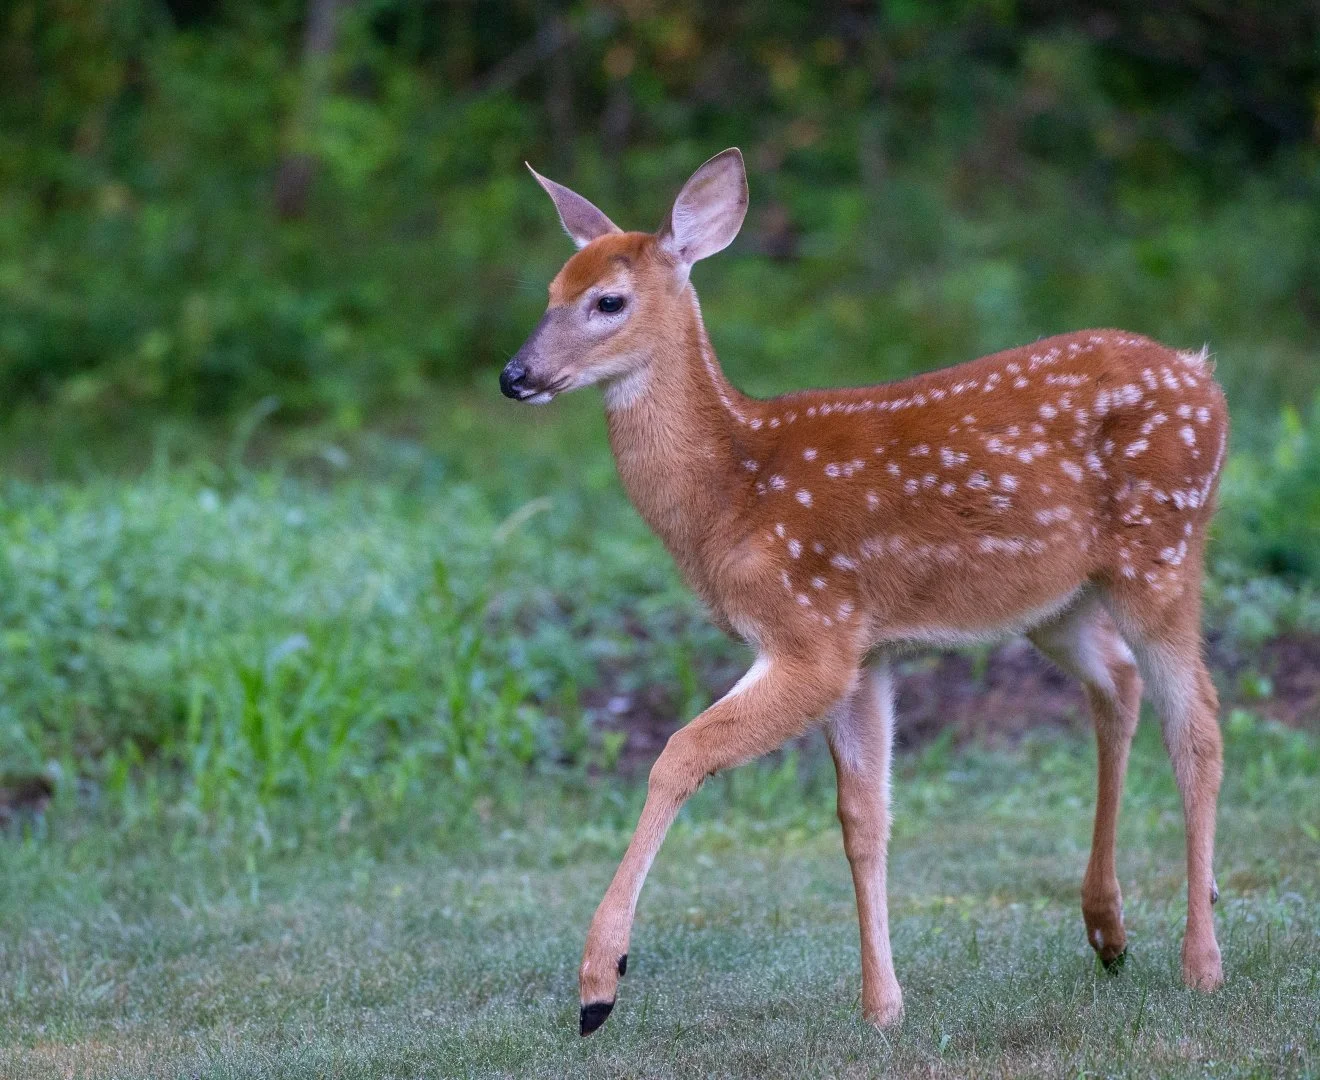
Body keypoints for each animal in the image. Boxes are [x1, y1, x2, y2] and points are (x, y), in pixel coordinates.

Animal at [501, 149, 1229, 1036]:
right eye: (550, 290)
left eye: (608, 300)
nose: (515, 375)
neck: (732, 492)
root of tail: (1205, 377)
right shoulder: (862, 647)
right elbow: (863, 818)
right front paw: (883, 1005)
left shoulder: (814, 632)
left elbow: (680, 754)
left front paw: (600, 983)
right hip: (1057, 602)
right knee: (1119, 685)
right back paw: (1110, 932)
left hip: (1163, 552)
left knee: (1196, 728)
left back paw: (1201, 963)